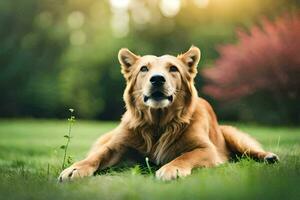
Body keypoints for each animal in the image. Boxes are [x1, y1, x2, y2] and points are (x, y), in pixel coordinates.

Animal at [58, 46, 278, 181]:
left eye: (173, 68)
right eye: (144, 69)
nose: (157, 79)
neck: (158, 123)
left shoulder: (207, 149)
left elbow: (185, 156)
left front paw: (172, 168)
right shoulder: (116, 146)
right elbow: (97, 156)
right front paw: (75, 169)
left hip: (233, 135)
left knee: (250, 151)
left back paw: (268, 157)